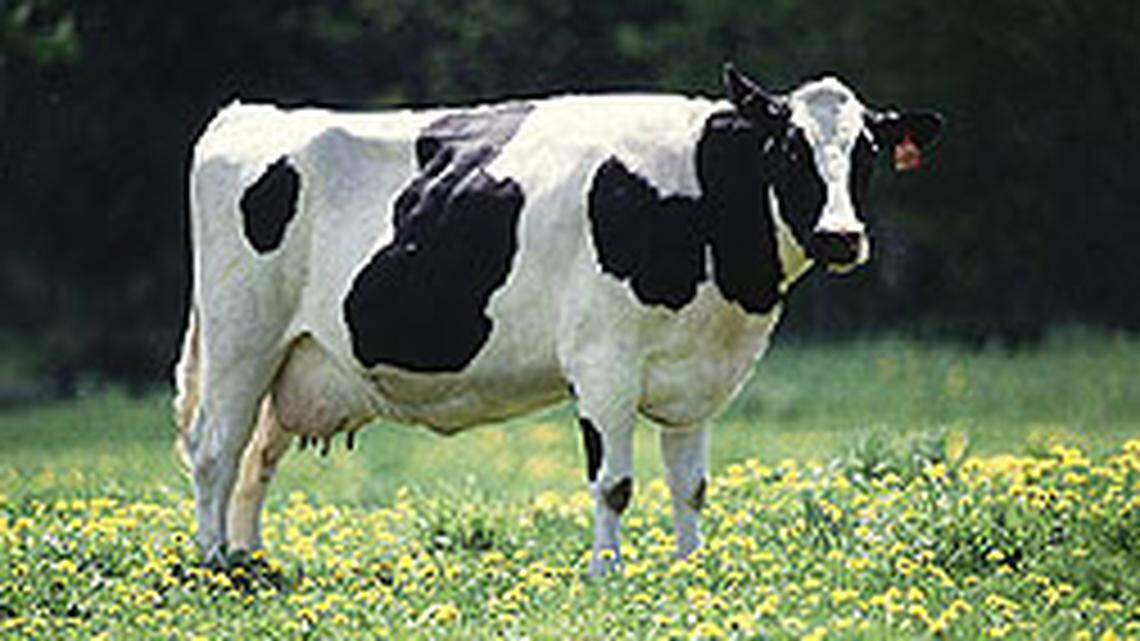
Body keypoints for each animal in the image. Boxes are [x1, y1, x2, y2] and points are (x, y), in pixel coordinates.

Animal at [174, 64, 942, 576]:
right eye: (789, 149)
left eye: (868, 152)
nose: (841, 237)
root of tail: (249, 113)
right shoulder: (603, 362)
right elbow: (615, 483)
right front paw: (608, 574)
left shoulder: (696, 376)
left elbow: (690, 485)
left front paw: (692, 571)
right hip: (242, 340)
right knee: (215, 452)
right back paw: (214, 565)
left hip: (293, 359)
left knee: (255, 460)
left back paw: (252, 563)